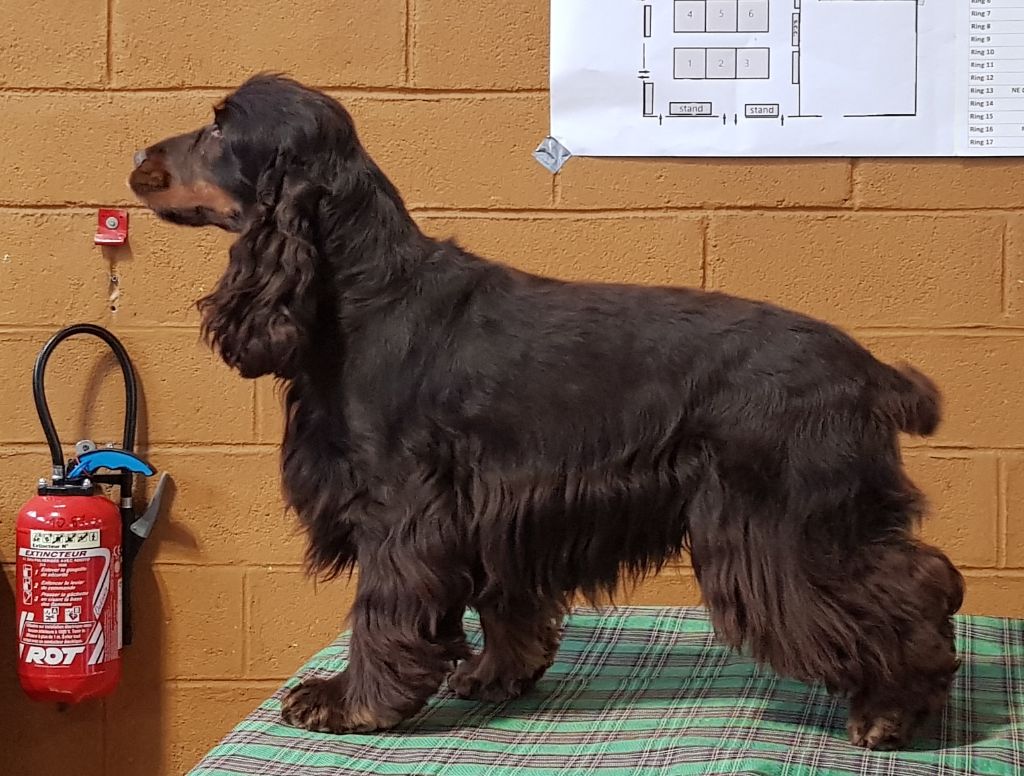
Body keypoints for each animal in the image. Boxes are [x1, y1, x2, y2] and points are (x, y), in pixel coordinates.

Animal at [129, 74, 964, 749]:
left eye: (218, 128)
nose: (138, 160)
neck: (360, 293)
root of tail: (870, 373)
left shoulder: (403, 510)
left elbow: (381, 610)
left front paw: (353, 703)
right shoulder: (497, 504)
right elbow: (506, 604)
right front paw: (497, 676)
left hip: (787, 526)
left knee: (915, 587)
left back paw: (892, 711)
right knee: (922, 572)